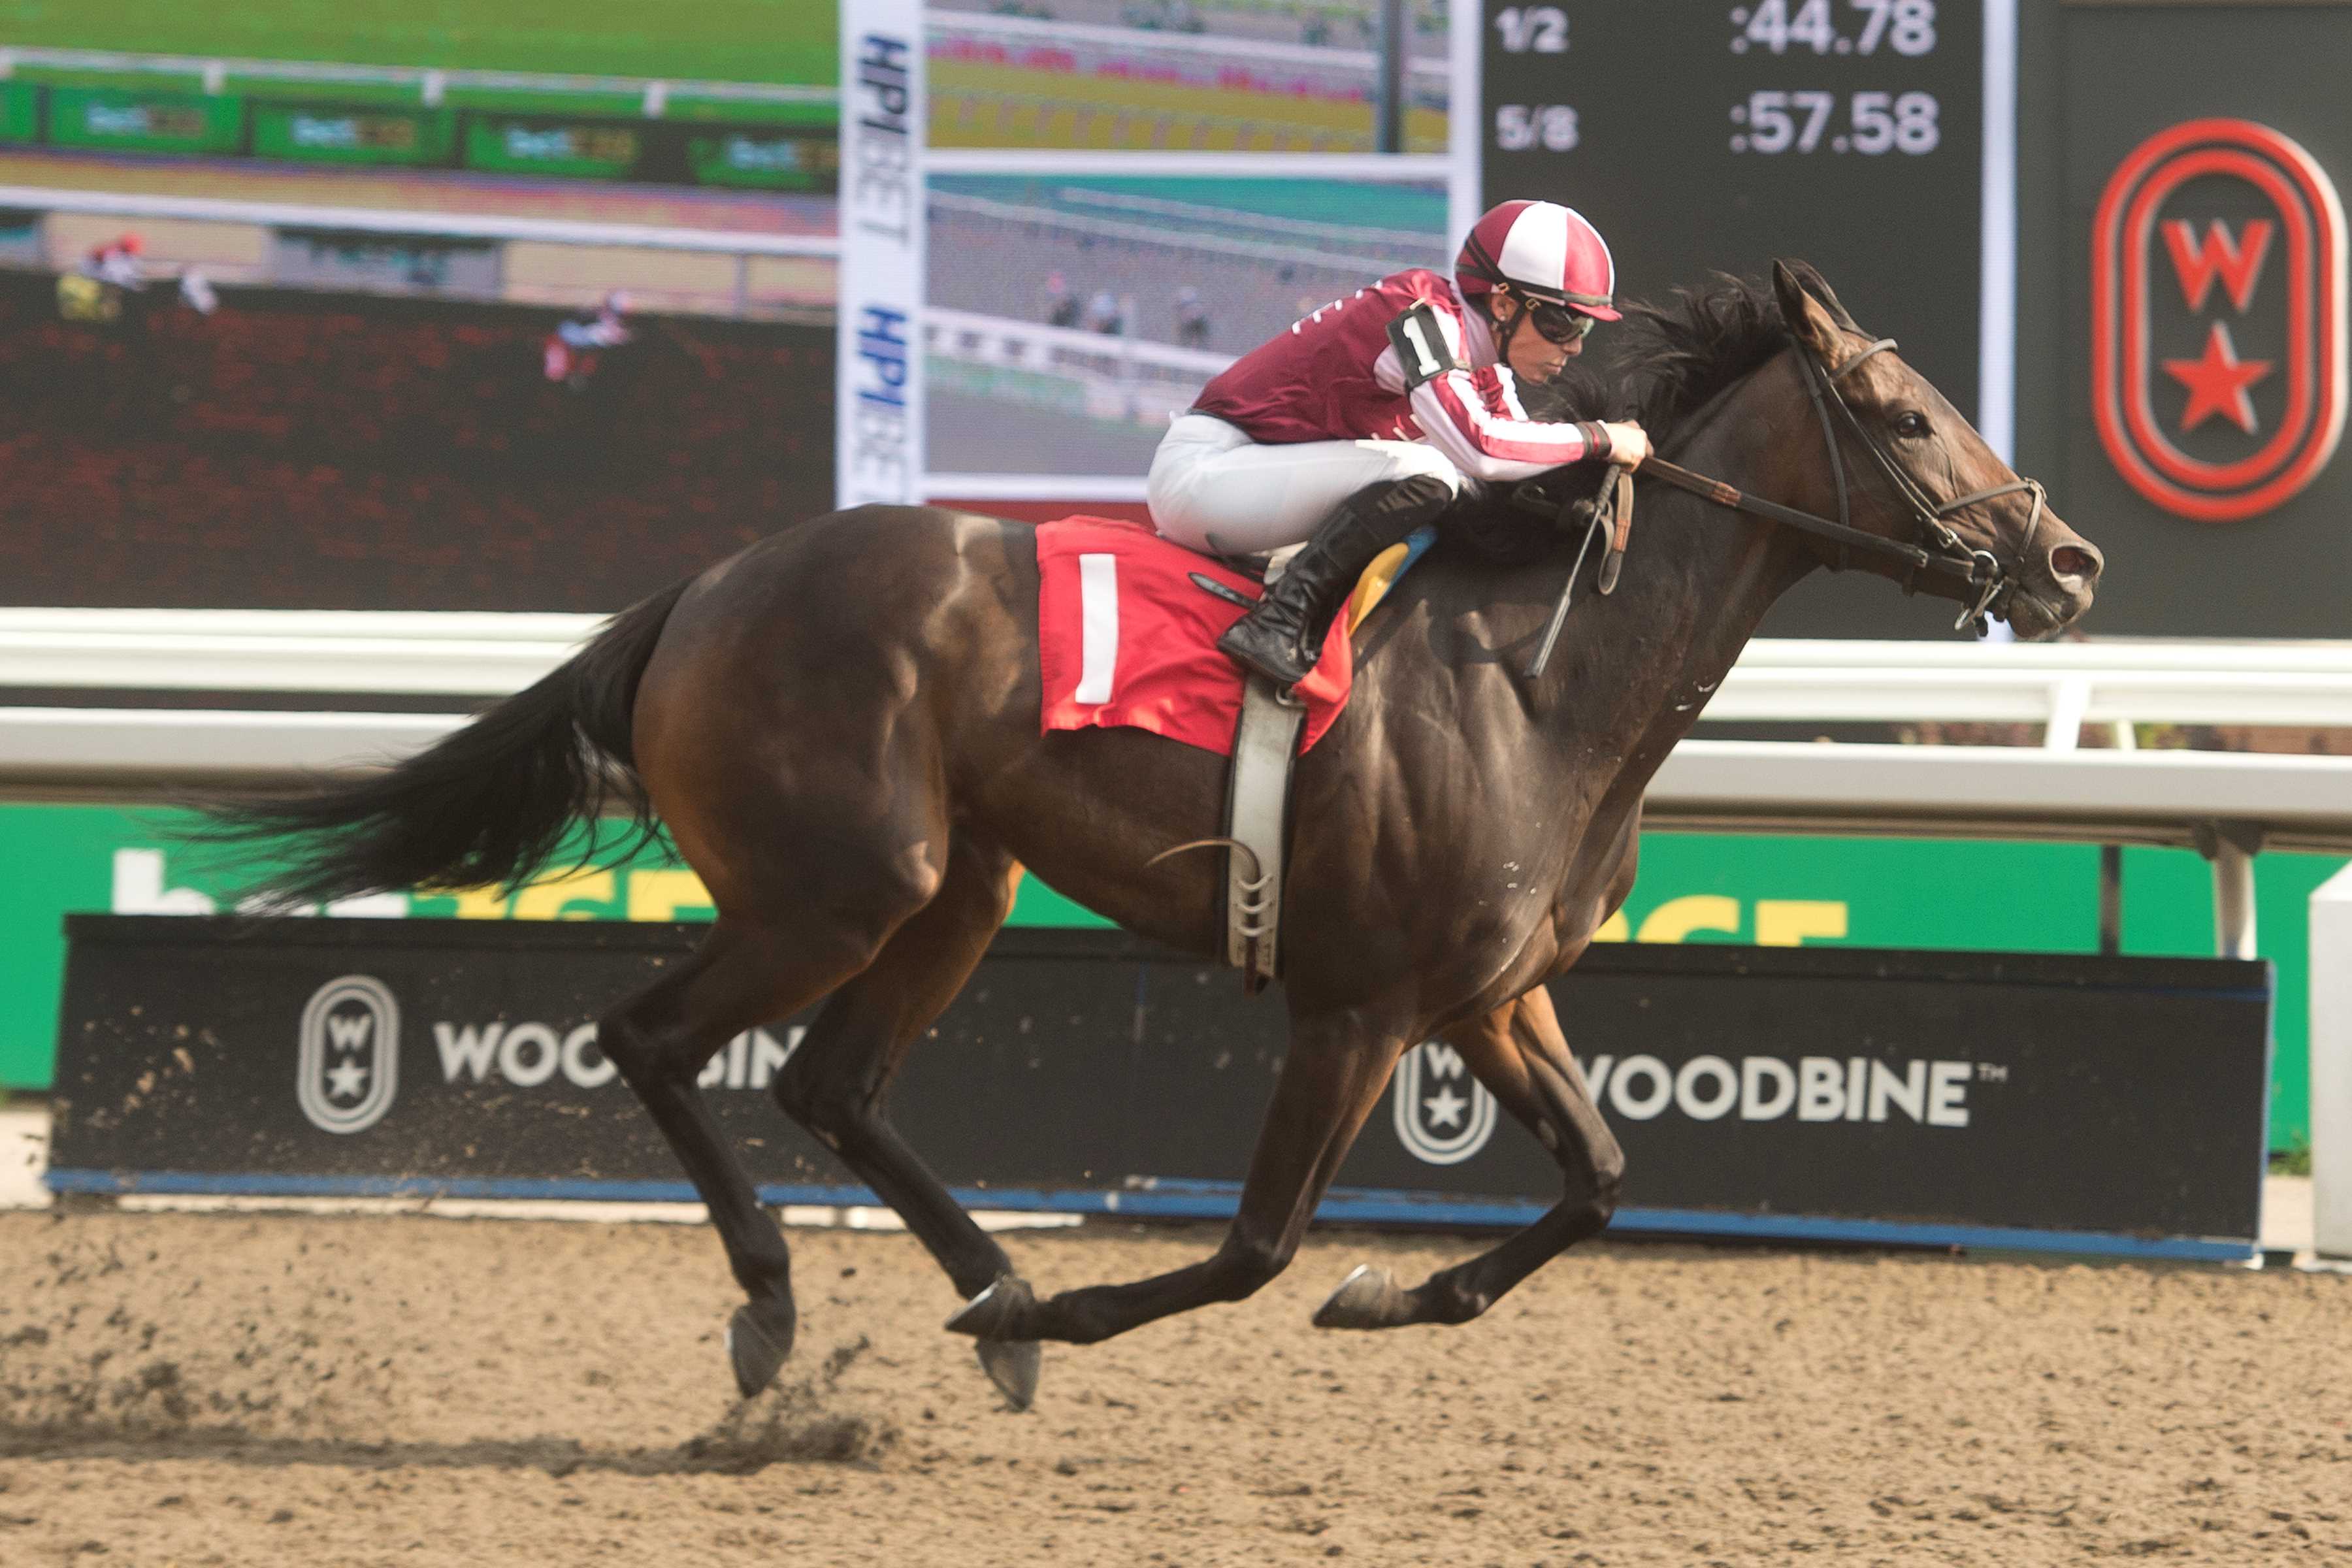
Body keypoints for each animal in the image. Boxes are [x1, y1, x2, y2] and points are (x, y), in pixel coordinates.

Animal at [212, 257, 2107, 1410]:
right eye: (1914, 417)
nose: (2069, 561)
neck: (1541, 673)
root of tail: (706, 588)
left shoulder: (1491, 995)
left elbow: (1602, 1177)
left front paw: (1385, 1299)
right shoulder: (1360, 1006)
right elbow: (1257, 1247)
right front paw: (1106, 1304)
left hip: (955, 884)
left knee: (829, 1082)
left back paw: (982, 1292)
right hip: (842, 882)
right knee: (648, 1037)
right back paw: (784, 1302)